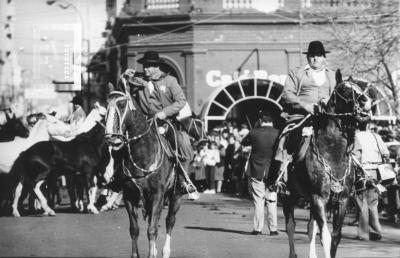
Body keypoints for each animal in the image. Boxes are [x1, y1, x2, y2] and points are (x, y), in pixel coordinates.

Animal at [104, 76, 194, 258]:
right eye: (106, 106)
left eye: (122, 105)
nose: (111, 137)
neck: (142, 154)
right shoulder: (129, 196)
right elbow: (134, 229)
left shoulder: (157, 194)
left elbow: (152, 230)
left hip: (176, 196)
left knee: (169, 221)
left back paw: (165, 251)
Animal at [282, 69, 372, 256]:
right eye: (343, 89)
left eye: (359, 87)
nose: (366, 101)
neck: (333, 154)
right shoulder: (319, 198)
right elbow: (325, 236)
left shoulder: (342, 200)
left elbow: (335, 237)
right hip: (289, 195)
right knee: (291, 226)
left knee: (310, 228)